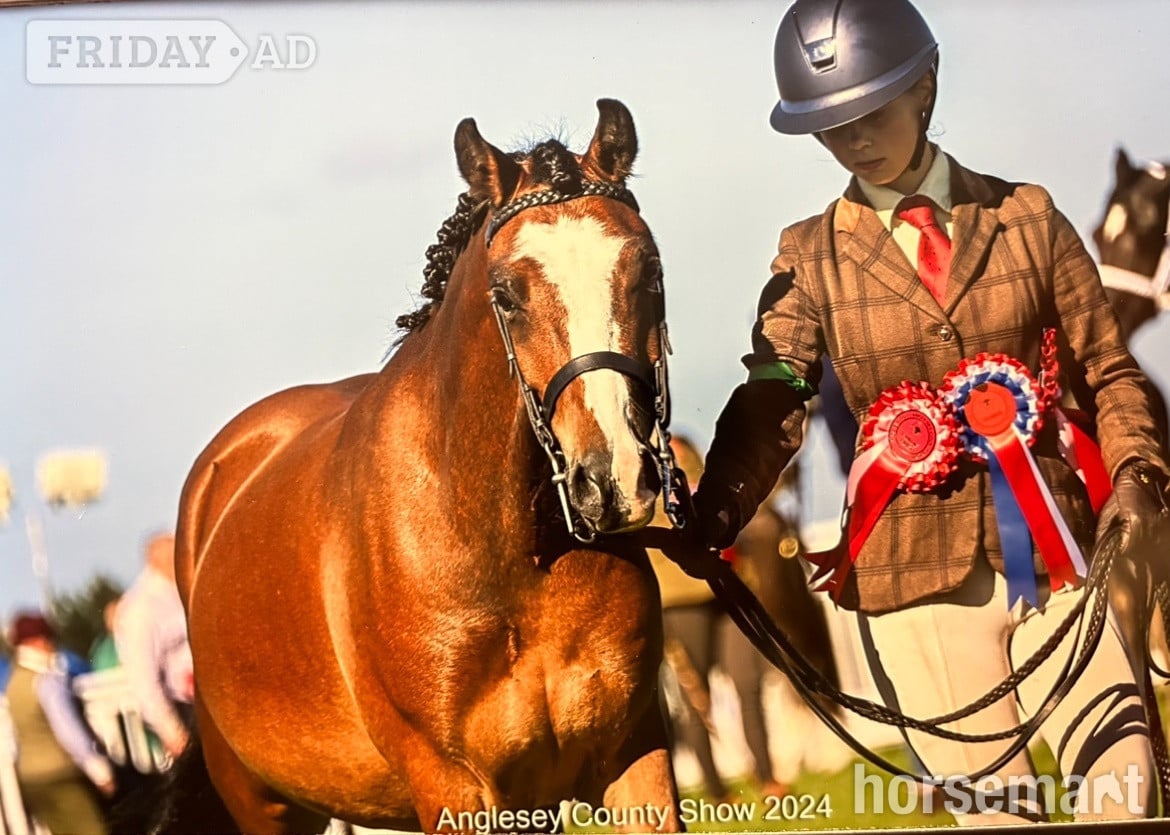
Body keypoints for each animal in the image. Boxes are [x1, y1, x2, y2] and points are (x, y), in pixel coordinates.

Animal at [169, 99, 682, 834]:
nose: (611, 479)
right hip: (261, 805)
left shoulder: (632, 752)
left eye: (650, 270)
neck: (510, 555)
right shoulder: (454, 786)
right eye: (507, 294)